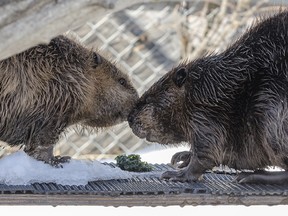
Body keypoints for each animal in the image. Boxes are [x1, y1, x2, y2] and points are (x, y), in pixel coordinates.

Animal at [128, 10, 288, 184]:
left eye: (148, 99)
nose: (129, 118)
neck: (208, 86)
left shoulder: (204, 114)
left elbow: (208, 152)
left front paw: (177, 173)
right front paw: (181, 157)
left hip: (269, 109)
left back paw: (250, 176)